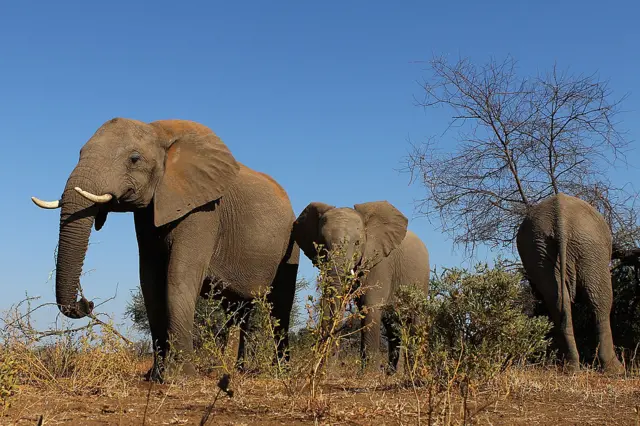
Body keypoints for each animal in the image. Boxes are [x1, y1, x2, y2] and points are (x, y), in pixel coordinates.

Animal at [30, 117, 300, 382]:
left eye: (134, 159)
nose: (87, 303)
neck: (160, 133)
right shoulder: (148, 213)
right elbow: (150, 281)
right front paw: (155, 376)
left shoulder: (203, 210)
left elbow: (178, 277)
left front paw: (180, 378)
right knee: (239, 309)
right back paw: (232, 371)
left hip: (291, 244)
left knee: (279, 308)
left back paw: (278, 373)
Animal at [294, 201, 430, 372]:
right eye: (322, 244)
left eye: (357, 243)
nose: (324, 367)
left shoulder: (380, 264)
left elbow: (370, 307)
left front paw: (368, 374)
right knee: (392, 326)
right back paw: (392, 374)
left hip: (421, 280)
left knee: (415, 321)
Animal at [516, 193, 624, 372]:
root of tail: (560, 219)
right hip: (590, 246)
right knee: (601, 299)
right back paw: (615, 369)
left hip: (539, 248)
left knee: (558, 300)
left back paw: (570, 366)